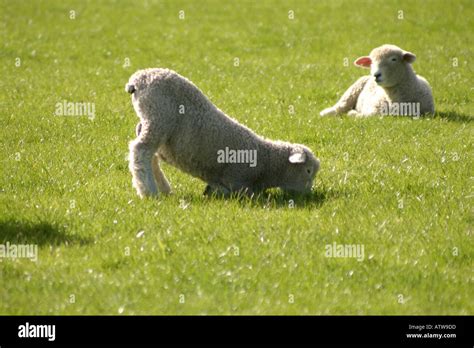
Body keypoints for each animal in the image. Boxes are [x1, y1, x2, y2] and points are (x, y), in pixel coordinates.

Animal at [124, 68, 320, 198]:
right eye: (308, 171)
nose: (307, 195)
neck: (267, 163)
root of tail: (138, 80)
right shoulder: (237, 179)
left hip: (152, 123)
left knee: (150, 154)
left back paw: (164, 189)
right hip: (159, 116)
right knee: (141, 150)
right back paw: (149, 192)